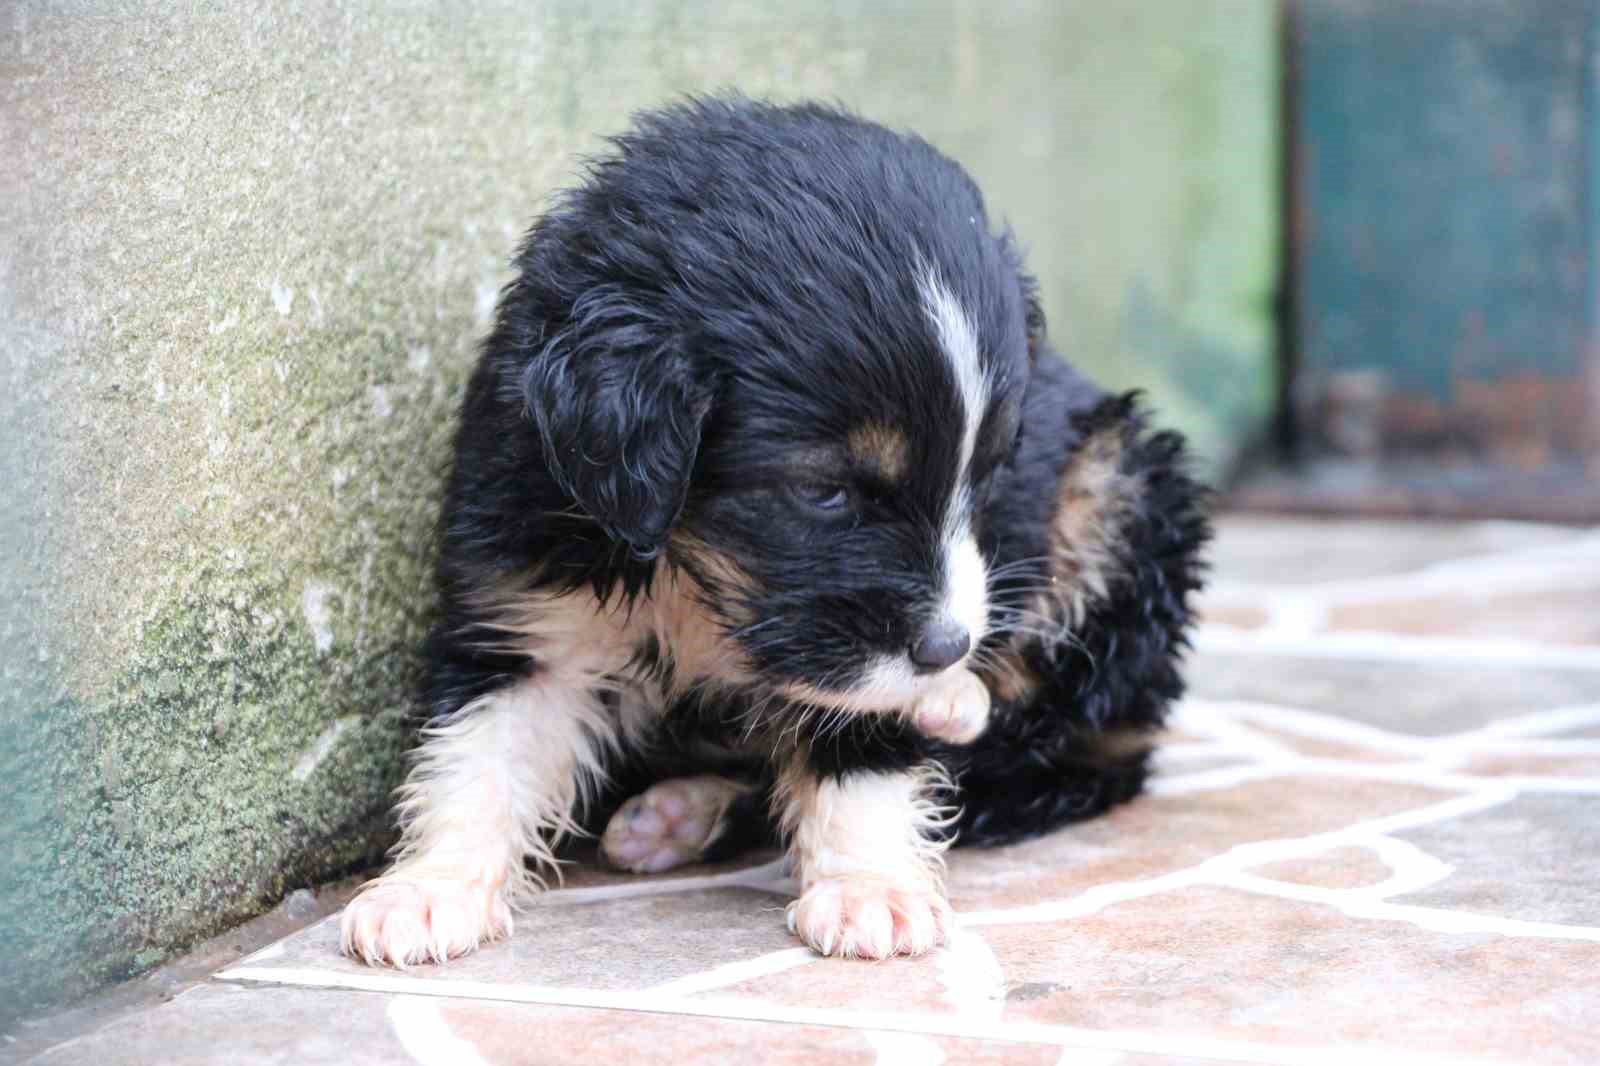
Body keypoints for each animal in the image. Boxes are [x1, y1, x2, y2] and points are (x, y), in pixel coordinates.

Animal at [340, 99, 1209, 960]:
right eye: (824, 491)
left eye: (988, 473)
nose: (944, 647)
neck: (689, 566)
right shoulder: (526, 609)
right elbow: (481, 752)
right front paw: (429, 891)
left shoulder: (850, 641)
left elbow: (864, 753)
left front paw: (868, 889)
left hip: (1118, 491)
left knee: (1067, 738)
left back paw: (945, 705)